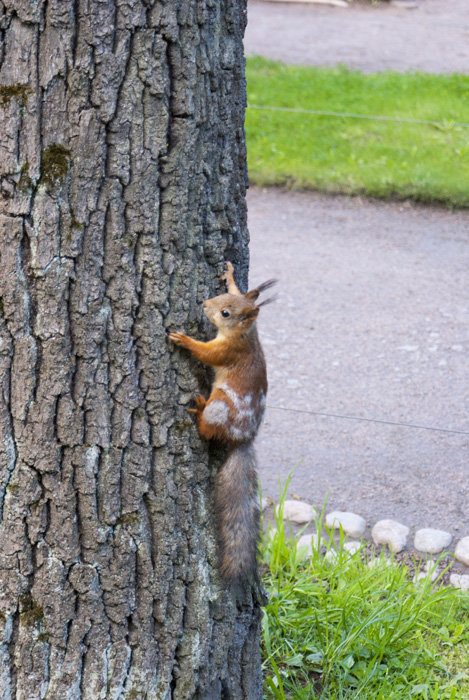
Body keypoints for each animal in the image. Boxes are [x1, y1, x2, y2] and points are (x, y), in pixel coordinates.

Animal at [170, 262, 276, 580]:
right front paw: (230, 277)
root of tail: (243, 440)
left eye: (226, 313)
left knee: (208, 431)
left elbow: (207, 353)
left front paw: (184, 340)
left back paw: (200, 412)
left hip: (221, 408)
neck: (245, 335)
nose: (204, 304)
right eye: (221, 297)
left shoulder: (227, 351)